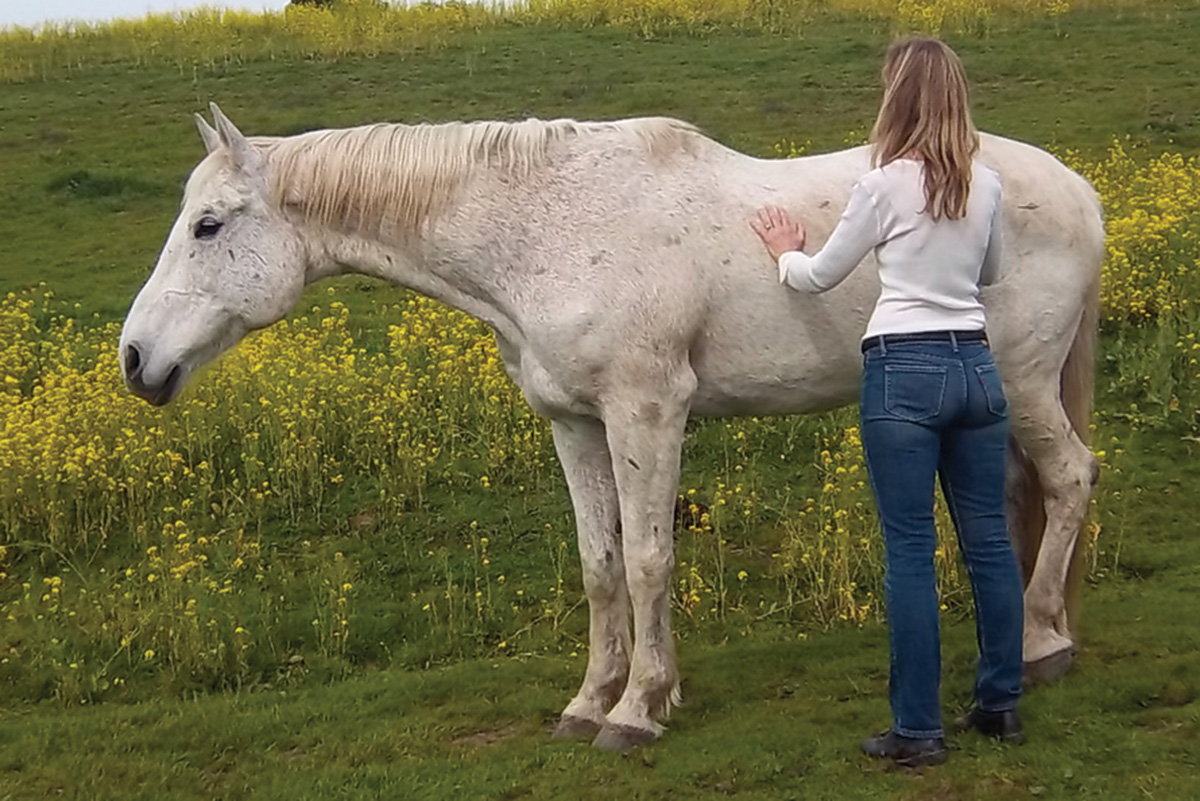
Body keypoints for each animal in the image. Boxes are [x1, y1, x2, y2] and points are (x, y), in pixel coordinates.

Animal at [124, 104, 1104, 753]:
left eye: (208, 225)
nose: (136, 359)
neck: (542, 228)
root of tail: (1079, 190)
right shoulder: (575, 421)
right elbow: (599, 566)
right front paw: (592, 699)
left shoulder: (647, 410)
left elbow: (646, 558)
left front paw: (640, 709)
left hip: (1024, 385)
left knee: (1068, 479)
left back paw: (1044, 641)